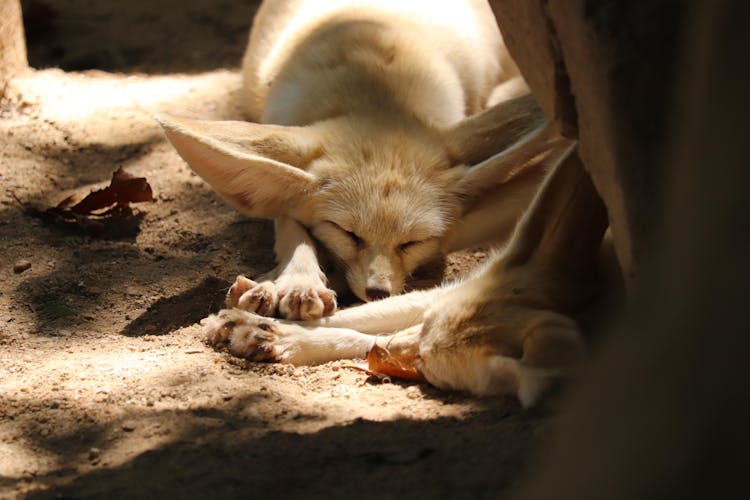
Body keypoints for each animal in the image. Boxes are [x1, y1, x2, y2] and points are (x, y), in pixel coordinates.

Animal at [160, 0, 568, 320]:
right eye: (348, 234)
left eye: (413, 242)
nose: (377, 293)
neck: (374, 93)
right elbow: (290, 223)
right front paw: (297, 280)